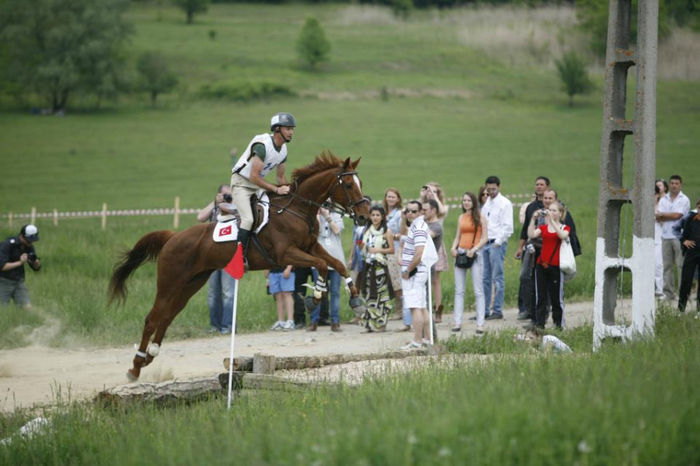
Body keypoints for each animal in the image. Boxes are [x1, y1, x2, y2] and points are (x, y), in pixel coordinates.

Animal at [107, 153, 370, 382]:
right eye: (348, 184)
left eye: (360, 183)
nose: (365, 217)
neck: (296, 209)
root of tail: (172, 237)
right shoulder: (286, 254)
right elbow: (323, 265)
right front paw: (314, 297)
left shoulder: (310, 247)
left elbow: (337, 264)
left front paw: (356, 299)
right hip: (170, 283)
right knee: (153, 319)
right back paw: (135, 367)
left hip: (191, 284)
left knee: (167, 317)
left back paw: (150, 356)